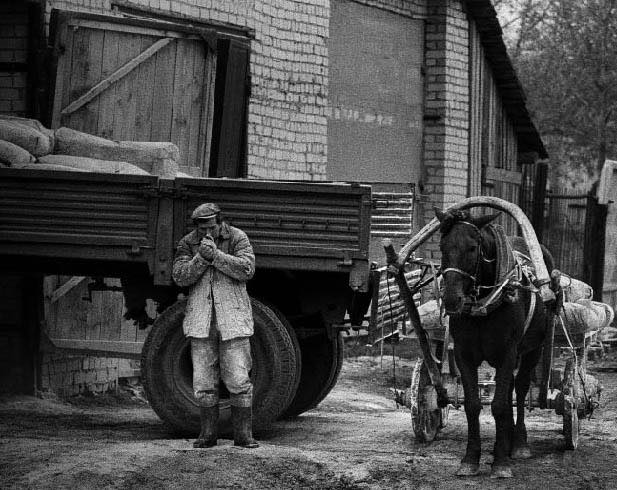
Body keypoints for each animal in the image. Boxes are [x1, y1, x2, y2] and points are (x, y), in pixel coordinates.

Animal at [434, 208, 552, 478]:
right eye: (442, 246)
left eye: (472, 248)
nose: (452, 299)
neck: (485, 304)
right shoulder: (464, 354)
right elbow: (473, 405)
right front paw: (470, 459)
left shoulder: (509, 351)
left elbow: (497, 405)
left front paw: (500, 463)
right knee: (507, 391)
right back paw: (506, 441)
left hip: (533, 349)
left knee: (520, 388)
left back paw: (518, 444)